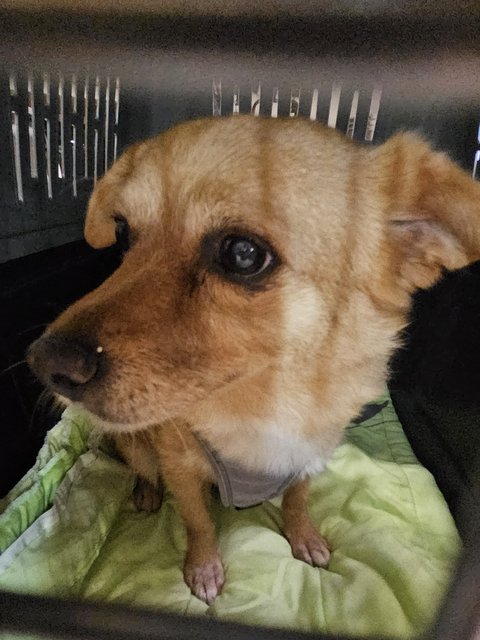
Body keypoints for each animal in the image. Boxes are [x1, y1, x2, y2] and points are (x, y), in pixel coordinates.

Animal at [27, 115, 480, 604]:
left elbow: (297, 499)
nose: (45, 364)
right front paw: (204, 567)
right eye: (125, 233)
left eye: (242, 254)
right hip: (138, 447)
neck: (266, 407)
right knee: (144, 470)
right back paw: (146, 494)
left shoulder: (310, 458)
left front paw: (304, 537)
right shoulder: (180, 471)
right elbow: (198, 522)